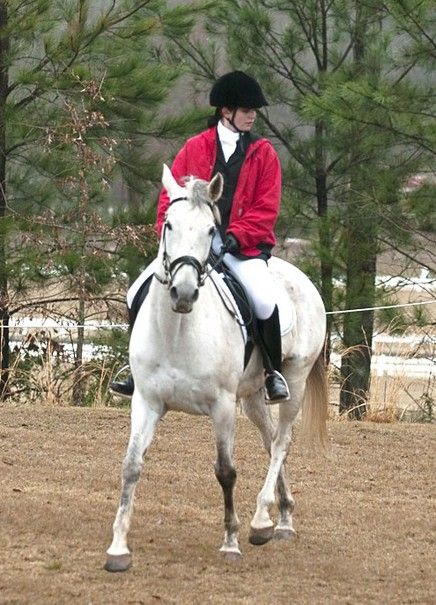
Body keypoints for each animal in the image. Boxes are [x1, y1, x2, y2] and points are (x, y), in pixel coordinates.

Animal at [104, 165, 328, 572]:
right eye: (168, 224)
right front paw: (118, 548)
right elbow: (131, 465)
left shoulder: (222, 406)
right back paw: (282, 517)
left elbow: (225, 471)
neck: (177, 330)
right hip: (253, 396)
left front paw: (230, 542)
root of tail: (301, 276)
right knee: (270, 439)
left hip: (296, 379)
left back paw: (261, 520)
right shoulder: (145, 402)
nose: (183, 293)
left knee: (281, 442)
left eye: (211, 230)